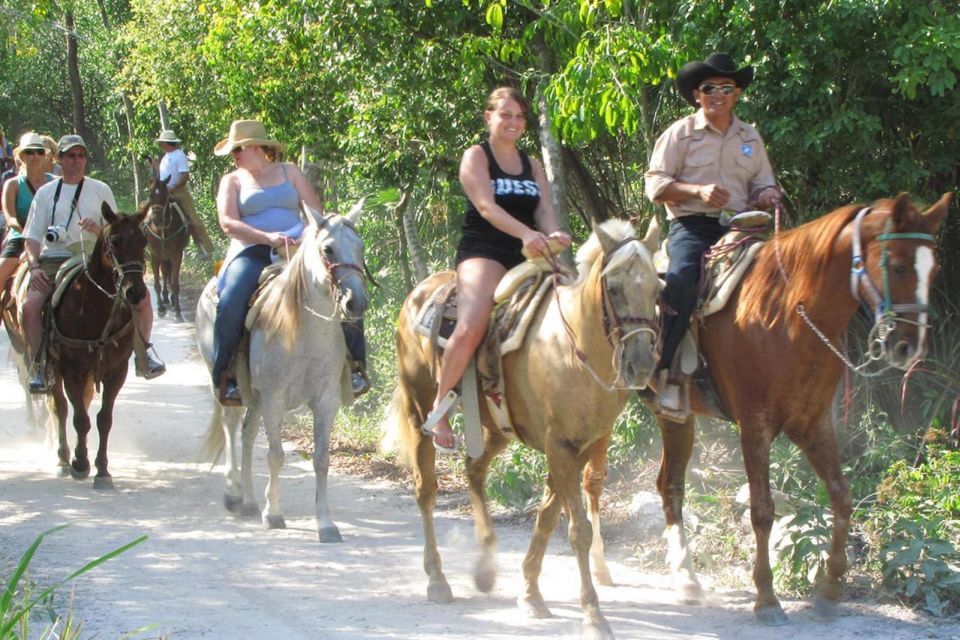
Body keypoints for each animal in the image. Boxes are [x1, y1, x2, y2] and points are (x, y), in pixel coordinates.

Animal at [142, 175, 189, 322]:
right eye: (150, 195)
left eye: (165, 196)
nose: (157, 220)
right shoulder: (154, 255)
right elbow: (157, 283)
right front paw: (160, 307)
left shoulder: (177, 255)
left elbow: (175, 283)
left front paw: (178, 311)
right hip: (162, 256)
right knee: (165, 272)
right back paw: (165, 299)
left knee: (168, 274)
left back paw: (171, 299)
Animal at [196, 202, 368, 544]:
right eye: (327, 249)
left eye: (360, 246)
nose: (356, 302)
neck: (303, 331)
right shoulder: (275, 397)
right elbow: (276, 455)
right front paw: (273, 514)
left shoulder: (326, 400)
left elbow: (321, 459)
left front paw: (325, 524)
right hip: (229, 387)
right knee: (231, 426)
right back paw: (234, 494)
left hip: (255, 395)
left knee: (248, 433)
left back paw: (249, 500)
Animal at [386, 219, 664, 636]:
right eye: (613, 288)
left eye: (657, 289)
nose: (641, 363)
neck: (573, 347)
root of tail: (416, 295)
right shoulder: (560, 446)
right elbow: (577, 531)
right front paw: (593, 614)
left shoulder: (581, 447)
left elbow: (548, 518)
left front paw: (531, 593)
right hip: (420, 414)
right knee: (426, 491)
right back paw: (437, 579)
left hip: (496, 429)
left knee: (474, 470)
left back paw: (485, 565)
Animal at [584, 190, 952, 624]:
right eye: (896, 265)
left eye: (934, 268)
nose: (909, 346)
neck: (788, 313)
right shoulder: (754, 425)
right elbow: (762, 509)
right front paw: (767, 598)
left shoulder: (812, 423)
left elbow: (841, 496)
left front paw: (830, 590)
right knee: (591, 481)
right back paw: (598, 568)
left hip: (677, 419)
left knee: (669, 485)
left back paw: (686, 580)